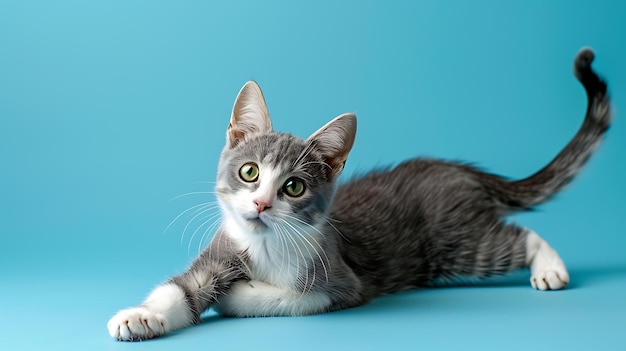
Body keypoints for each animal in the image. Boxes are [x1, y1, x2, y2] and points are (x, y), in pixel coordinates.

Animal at [107, 47, 608, 340]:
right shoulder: (220, 251)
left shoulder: (343, 283)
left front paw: (238, 297)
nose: (261, 203)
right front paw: (141, 316)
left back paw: (550, 268)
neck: (265, 248)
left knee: (518, 237)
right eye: (249, 172)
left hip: (456, 244)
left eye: (293, 187)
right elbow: (182, 289)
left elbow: (288, 298)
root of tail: (453, 168)